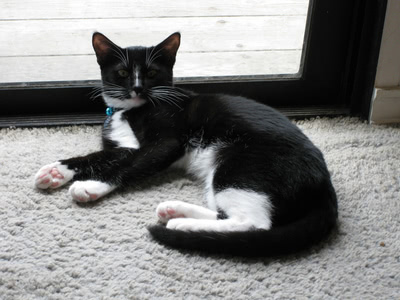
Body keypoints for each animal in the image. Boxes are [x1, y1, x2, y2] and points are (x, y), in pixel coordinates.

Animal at [35, 32, 338, 255]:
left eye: (152, 72)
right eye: (122, 72)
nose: (137, 88)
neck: (131, 110)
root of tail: (324, 183)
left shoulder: (167, 141)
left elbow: (130, 166)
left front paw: (91, 186)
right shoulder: (126, 147)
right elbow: (98, 157)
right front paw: (56, 171)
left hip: (240, 165)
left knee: (254, 224)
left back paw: (182, 224)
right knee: (226, 214)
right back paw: (175, 211)